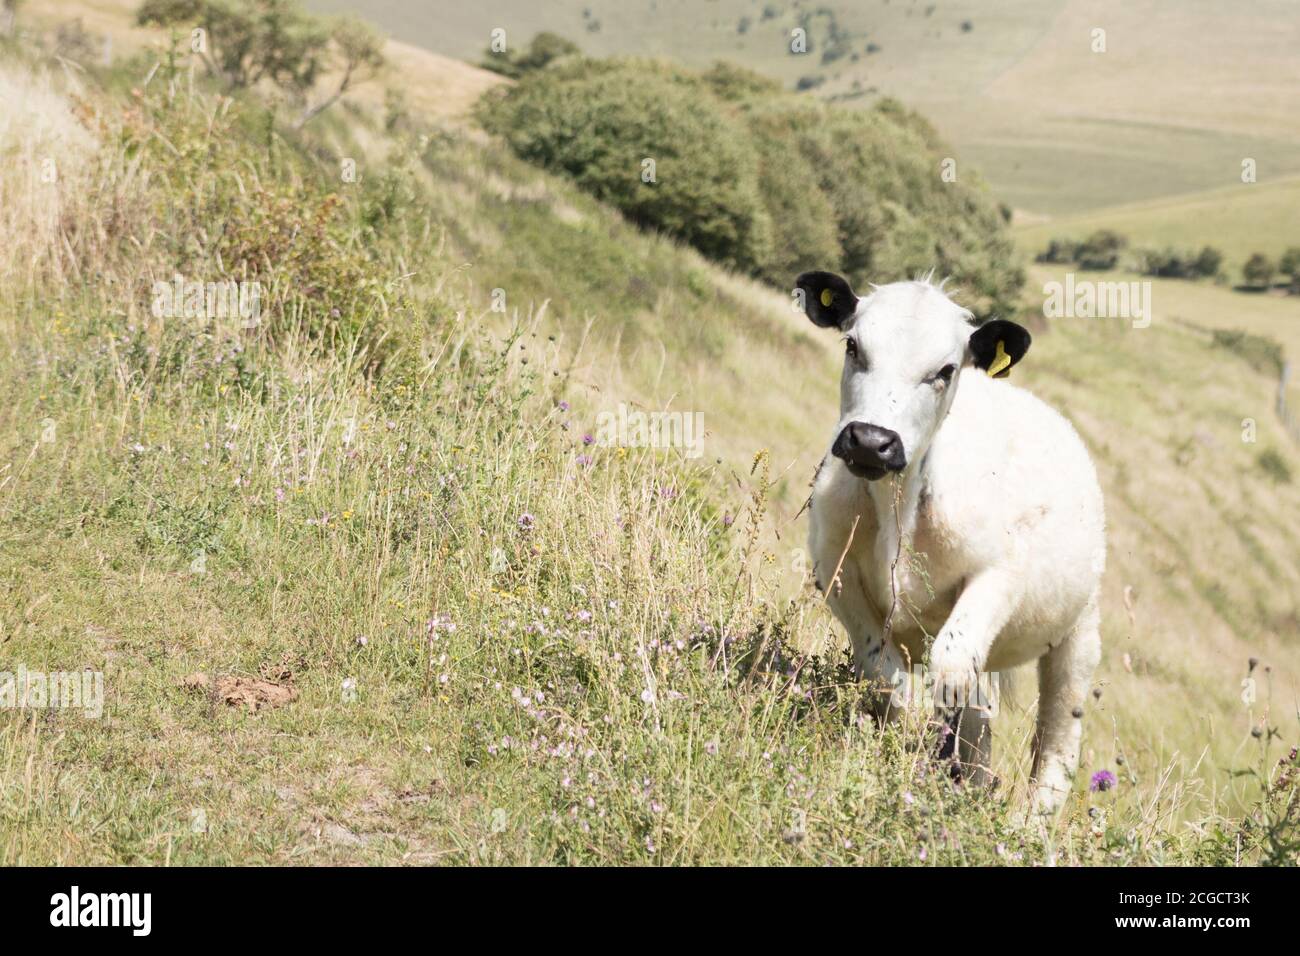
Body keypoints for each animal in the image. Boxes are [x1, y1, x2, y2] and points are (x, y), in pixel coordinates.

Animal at [800, 270, 1107, 816]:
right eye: (853, 345)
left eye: (944, 370)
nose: (871, 442)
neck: (898, 507)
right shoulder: (834, 569)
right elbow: (885, 672)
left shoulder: (997, 576)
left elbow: (950, 668)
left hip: (1080, 628)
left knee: (1056, 740)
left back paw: (1024, 824)